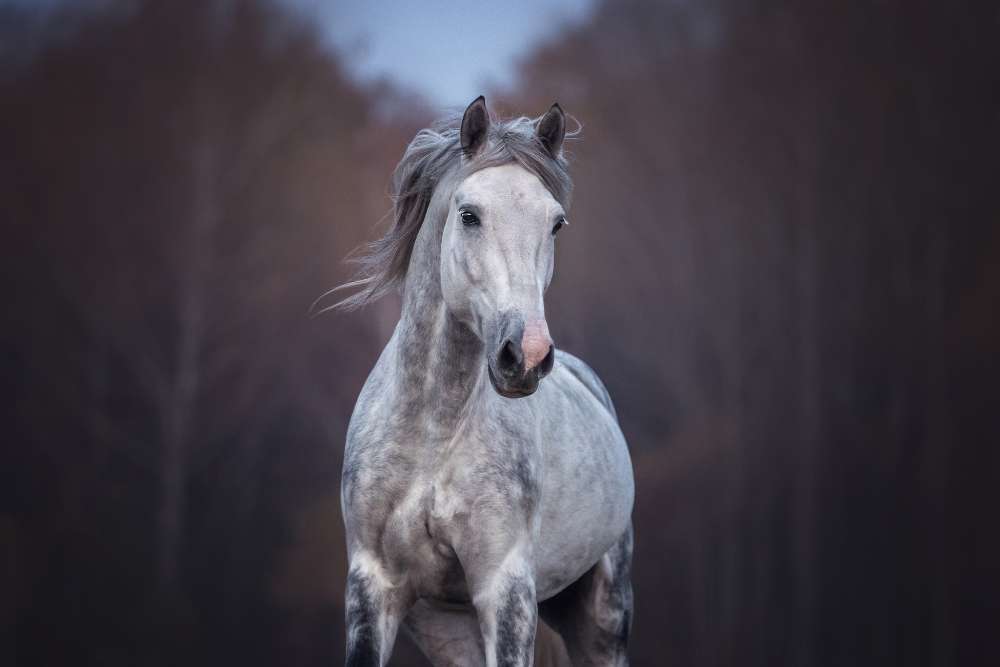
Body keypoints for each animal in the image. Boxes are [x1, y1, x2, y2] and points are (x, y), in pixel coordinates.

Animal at [336, 96, 632, 664]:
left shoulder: (505, 589)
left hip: (604, 617)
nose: (527, 355)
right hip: (448, 627)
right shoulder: (373, 586)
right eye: (469, 215)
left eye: (556, 224)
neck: (434, 431)